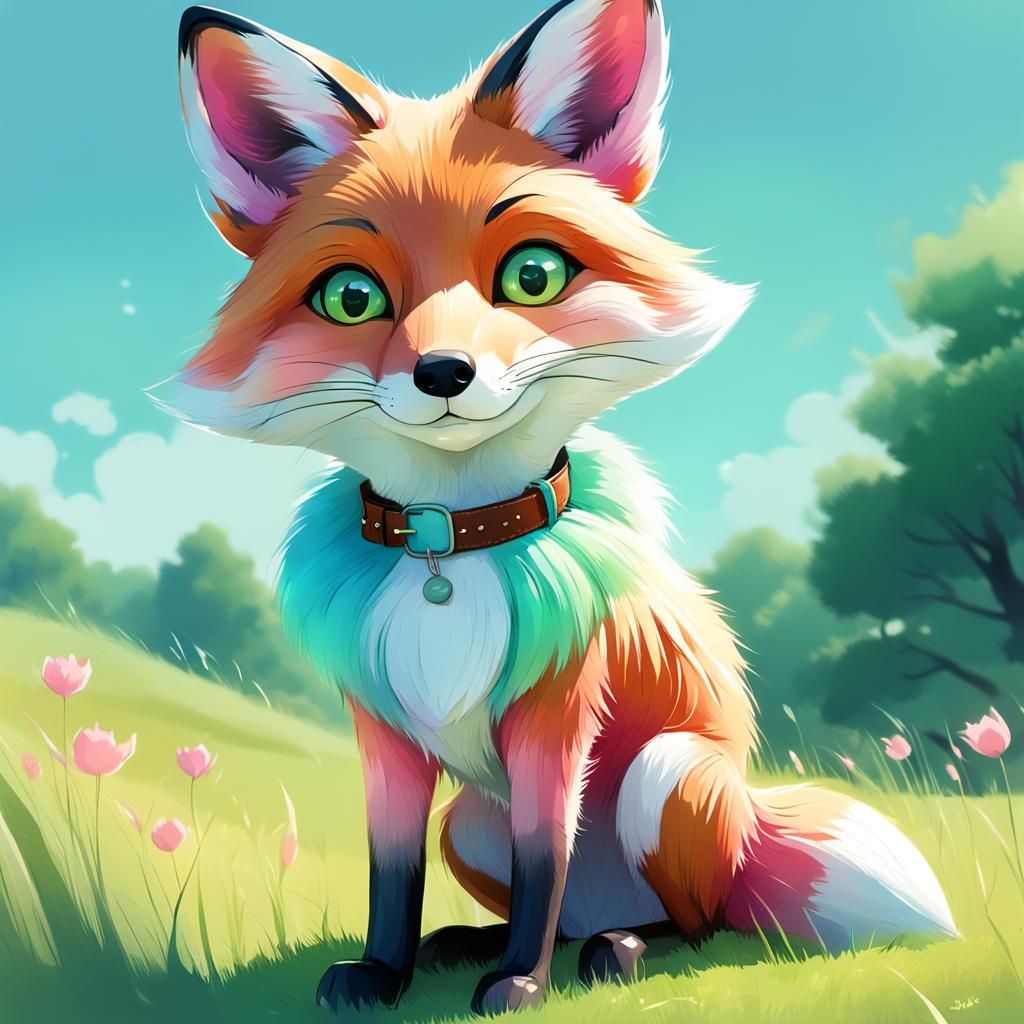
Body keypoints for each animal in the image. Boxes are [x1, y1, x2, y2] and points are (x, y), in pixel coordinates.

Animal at [165, 1, 957, 1015]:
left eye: (532, 276)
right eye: (350, 296)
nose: (444, 373)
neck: (450, 551)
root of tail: (749, 828)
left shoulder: (557, 712)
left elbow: (548, 854)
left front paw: (521, 985)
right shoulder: (382, 729)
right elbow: (392, 875)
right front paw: (384, 972)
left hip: (666, 776)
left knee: (693, 921)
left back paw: (616, 949)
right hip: (470, 818)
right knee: (548, 898)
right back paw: (469, 942)